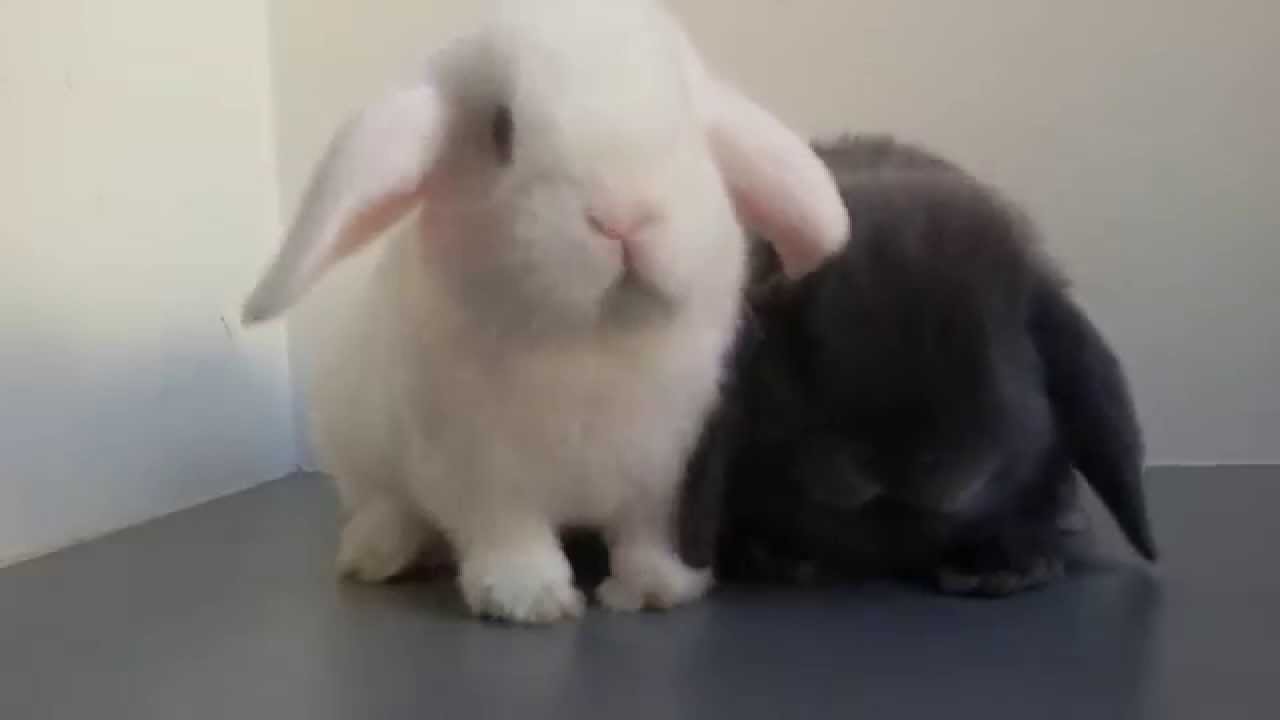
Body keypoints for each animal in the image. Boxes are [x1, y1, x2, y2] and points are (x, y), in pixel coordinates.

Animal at [239, 0, 849, 623]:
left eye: (687, 123)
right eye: (501, 129)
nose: (623, 216)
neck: (593, 342)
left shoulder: (663, 474)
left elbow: (644, 538)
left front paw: (657, 590)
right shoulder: (480, 472)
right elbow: (510, 534)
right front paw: (529, 599)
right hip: (356, 446)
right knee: (386, 505)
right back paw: (380, 553)